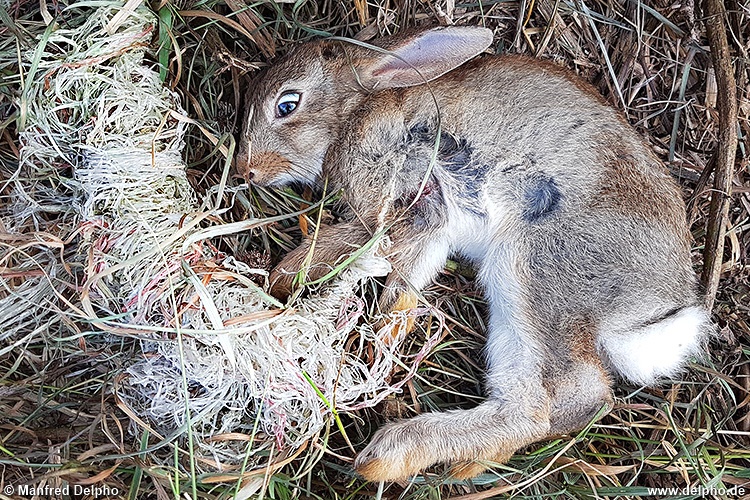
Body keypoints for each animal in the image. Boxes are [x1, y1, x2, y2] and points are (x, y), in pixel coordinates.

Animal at [236, 26, 713, 482]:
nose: (247, 170)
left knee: (558, 399)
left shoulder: (412, 197)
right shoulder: (421, 223)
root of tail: (655, 307)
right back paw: (464, 462)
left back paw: (392, 453)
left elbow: (376, 249)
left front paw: (314, 286)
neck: (354, 112)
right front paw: (372, 319)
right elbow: (391, 265)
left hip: (533, 268)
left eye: (287, 104)